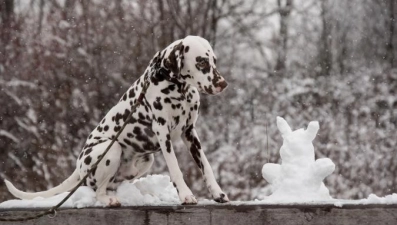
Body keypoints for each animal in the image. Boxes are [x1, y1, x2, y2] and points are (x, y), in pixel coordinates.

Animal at [4, 35, 229, 207]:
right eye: (201, 62)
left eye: (215, 61)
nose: (223, 84)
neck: (178, 89)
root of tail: (78, 168)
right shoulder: (163, 132)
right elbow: (176, 169)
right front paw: (185, 195)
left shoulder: (190, 133)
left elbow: (206, 167)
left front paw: (217, 194)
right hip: (112, 149)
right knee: (99, 192)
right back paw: (110, 200)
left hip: (146, 160)